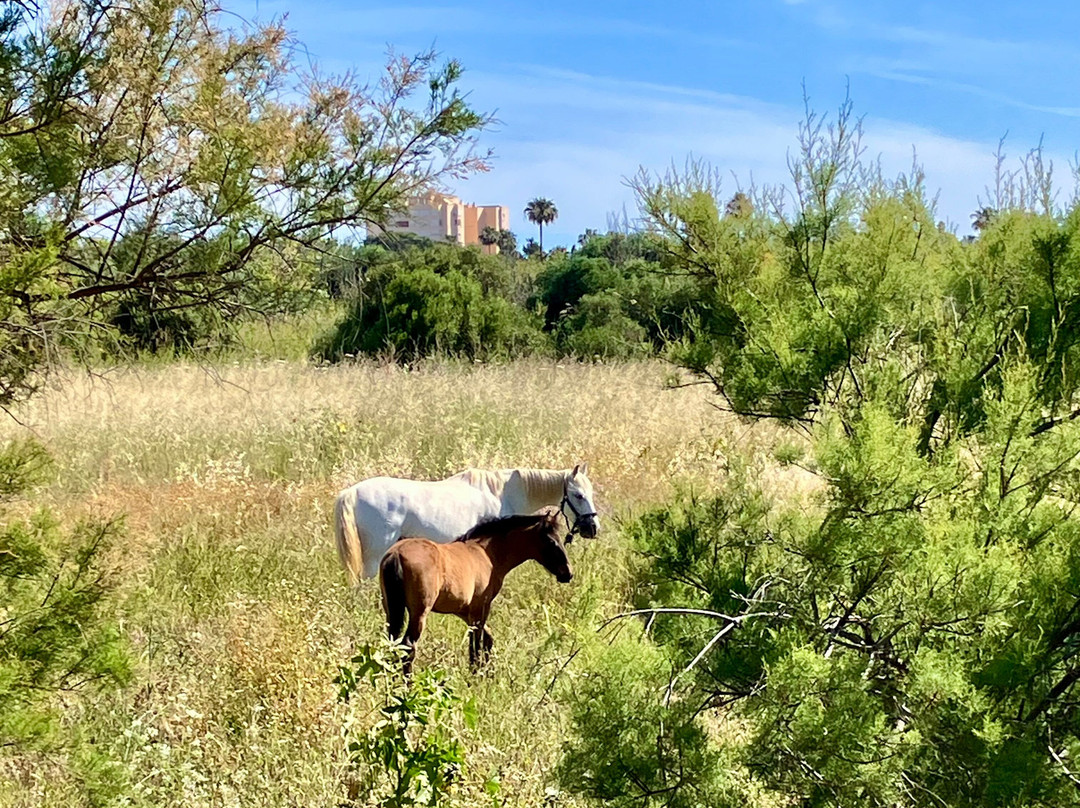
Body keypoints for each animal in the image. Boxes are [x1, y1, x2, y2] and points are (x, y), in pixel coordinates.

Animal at [334, 464, 598, 583]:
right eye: (578, 495)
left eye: (590, 492)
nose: (593, 528)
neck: (502, 493)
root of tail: (351, 493)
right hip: (375, 555)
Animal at [379, 508, 572, 674]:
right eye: (551, 541)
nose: (568, 573)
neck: (486, 554)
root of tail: (396, 554)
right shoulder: (481, 607)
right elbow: (476, 645)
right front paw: (476, 676)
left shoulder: (466, 611)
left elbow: (486, 639)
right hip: (419, 614)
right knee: (408, 647)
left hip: (392, 610)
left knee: (393, 644)